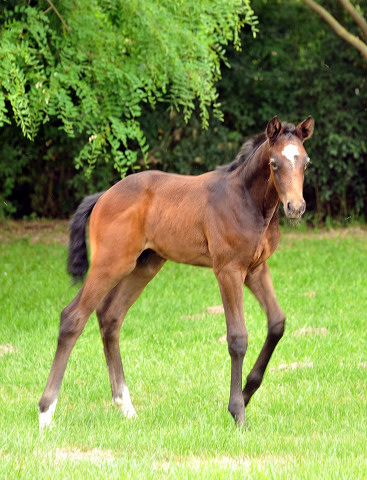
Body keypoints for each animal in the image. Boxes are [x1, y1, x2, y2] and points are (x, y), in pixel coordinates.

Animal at [40, 115, 316, 428]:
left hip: (145, 264)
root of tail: (103, 196)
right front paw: (237, 412)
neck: (247, 199)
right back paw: (46, 413)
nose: (296, 207)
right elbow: (237, 338)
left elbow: (277, 323)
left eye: (305, 162)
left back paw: (126, 406)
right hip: (111, 263)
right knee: (73, 317)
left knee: (110, 316)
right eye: (274, 163)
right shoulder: (228, 270)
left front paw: (247, 392)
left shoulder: (256, 269)